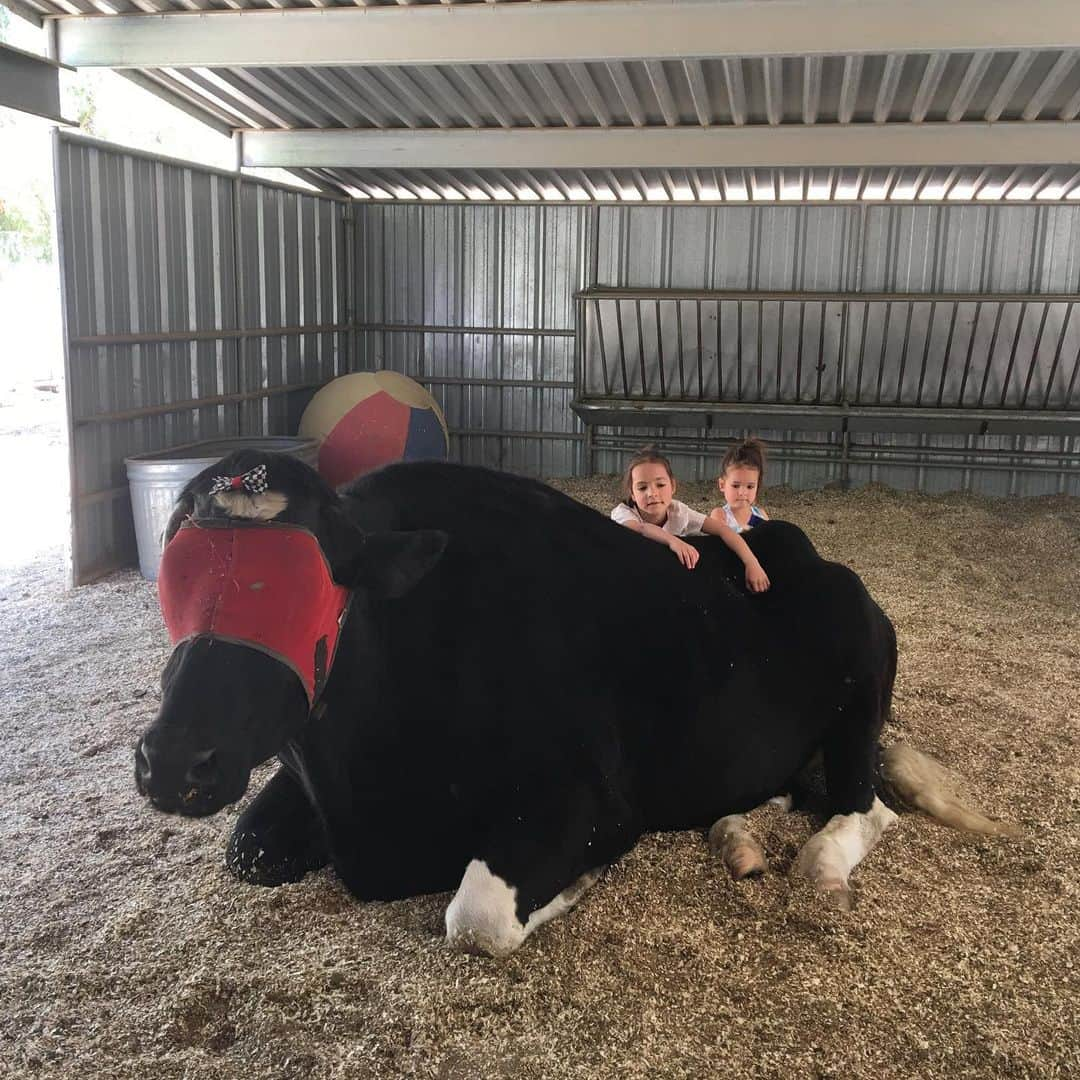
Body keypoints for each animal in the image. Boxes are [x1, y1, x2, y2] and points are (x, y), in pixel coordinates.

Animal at [137, 451, 1019, 959]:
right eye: (173, 583)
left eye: (305, 597)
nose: (173, 760)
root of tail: (810, 554)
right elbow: (246, 848)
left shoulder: (589, 802)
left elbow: (477, 919)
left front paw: (577, 886)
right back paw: (738, 836)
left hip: (861, 696)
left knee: (866, 804)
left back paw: (821, 866)